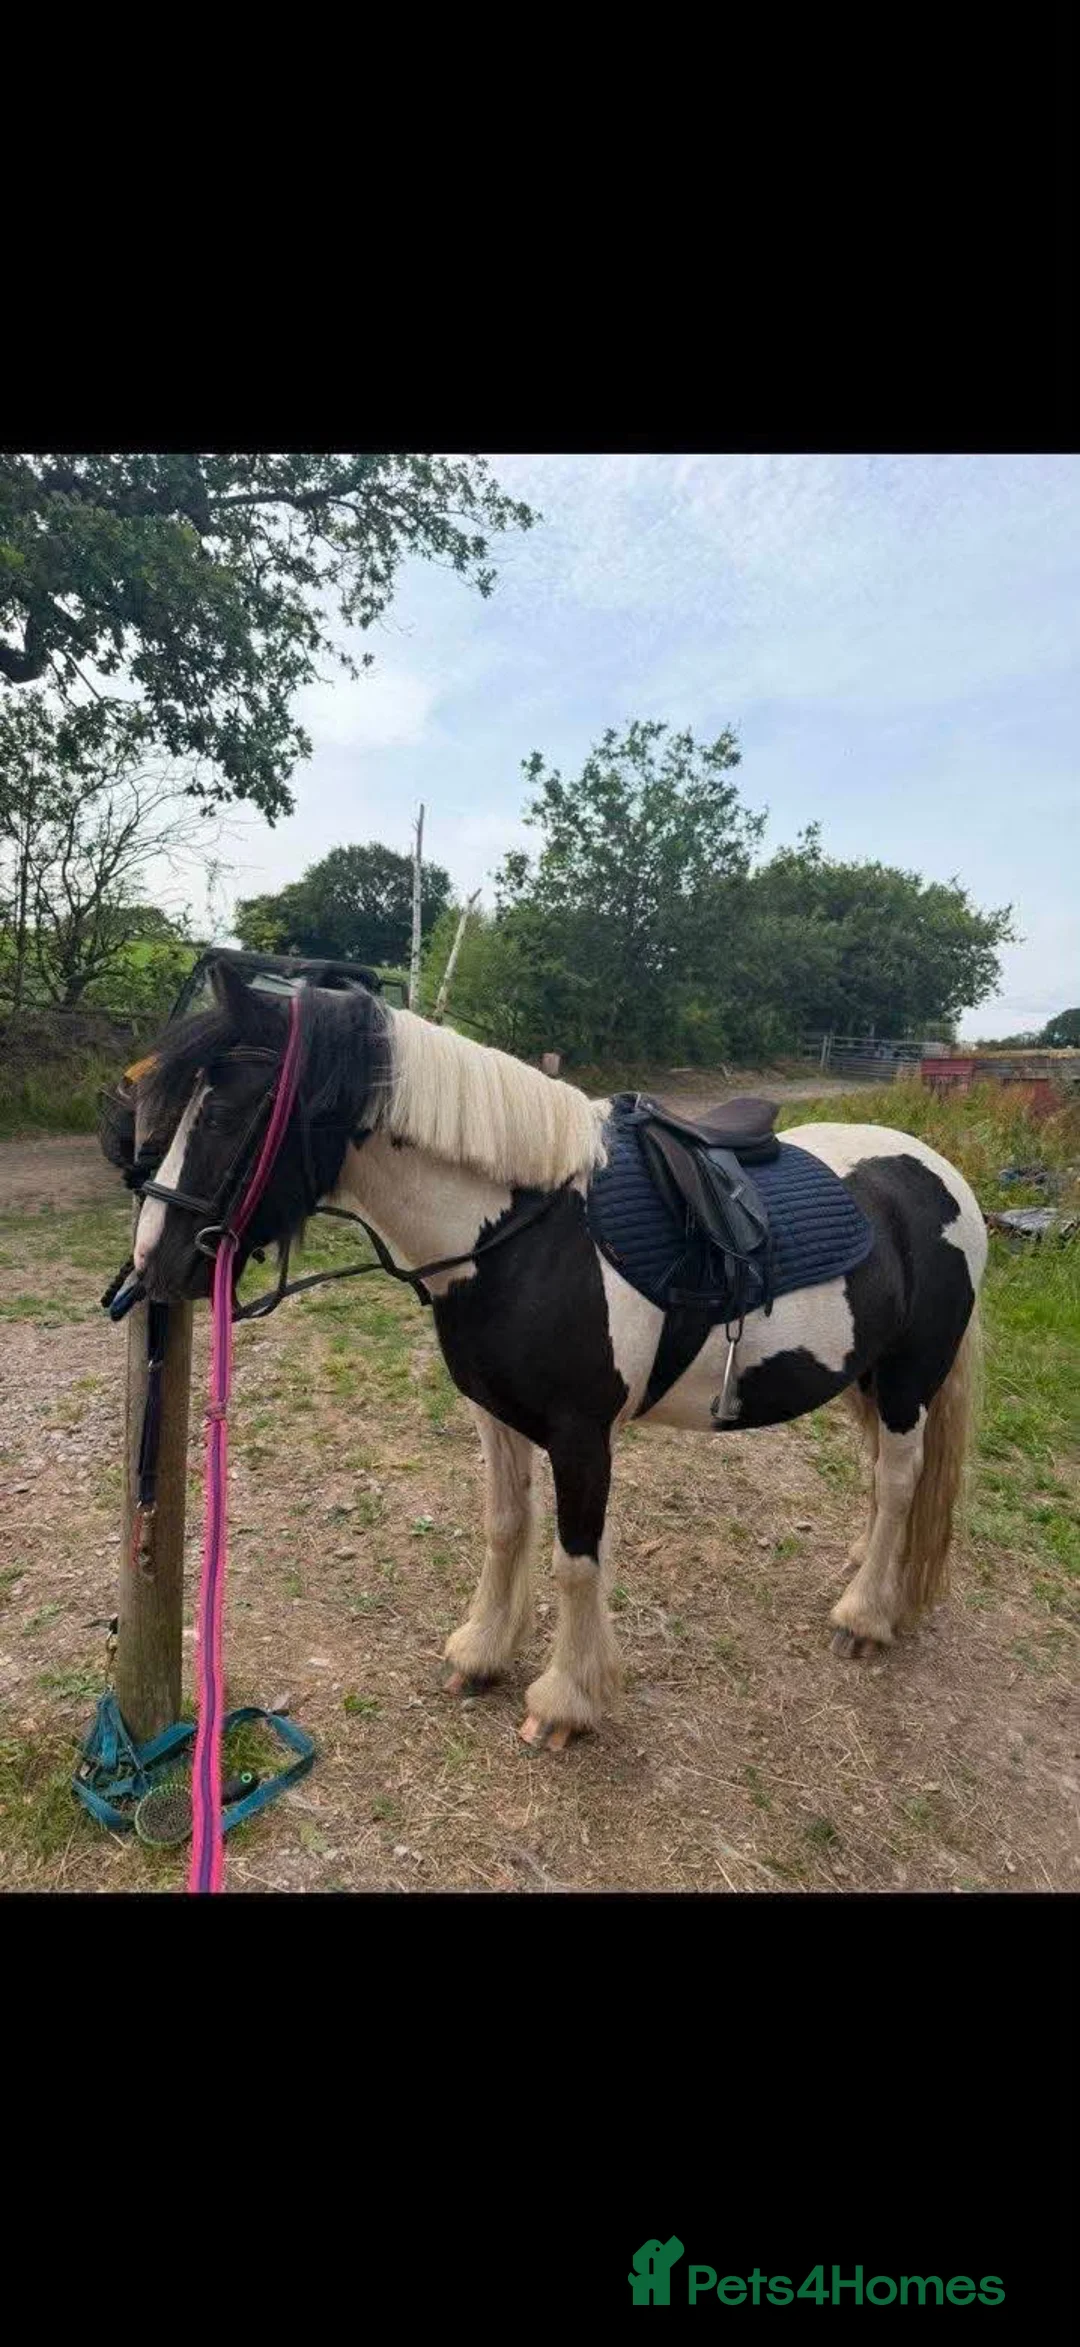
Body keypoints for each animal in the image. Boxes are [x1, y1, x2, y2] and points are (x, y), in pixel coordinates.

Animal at [130, 962, 986, 1753]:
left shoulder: (582, 1436)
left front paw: (565, 1701)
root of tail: (941, 1172)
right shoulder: (495, 1414)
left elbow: (577, 1561)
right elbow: (506, 1524)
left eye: (225, 1111)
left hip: (908, 1378)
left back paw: (865, 1614)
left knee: (900, 1479)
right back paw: (866, 1568)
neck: (524, 1231)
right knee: (883, 1479)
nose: (149, 1265)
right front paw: (481, 1653)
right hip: (865, 1377)